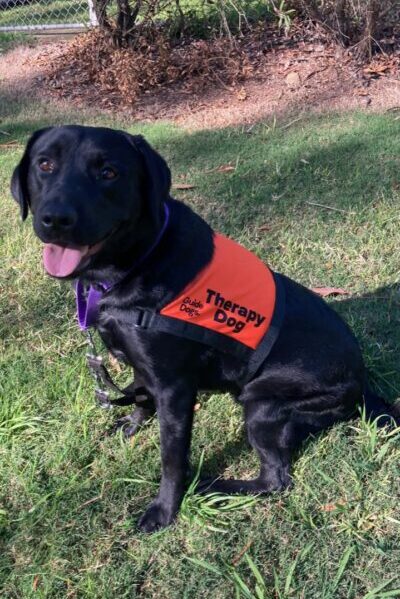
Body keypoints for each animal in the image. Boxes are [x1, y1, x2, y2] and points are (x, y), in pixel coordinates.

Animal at [10, 125, 398, 536]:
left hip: (261, 406)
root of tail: (362, 386)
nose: (55, 219)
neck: (137, 261)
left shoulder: (175, 389)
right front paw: (130, 427)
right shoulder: (142, 366)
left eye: (108, 172)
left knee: (277, 479)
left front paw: (164, 509)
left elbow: (172, 457)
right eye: (45, 164)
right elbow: (141, 399)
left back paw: (217, 486)